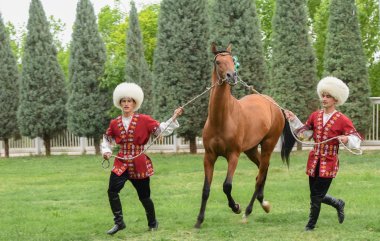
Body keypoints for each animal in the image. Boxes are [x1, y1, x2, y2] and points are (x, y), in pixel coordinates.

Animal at [194, 42, 296, 229]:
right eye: (218, 61)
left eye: (232, 60)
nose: (232, 76)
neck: (222, 118)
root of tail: (274, 105)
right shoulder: (209, 156)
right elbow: (206, 189)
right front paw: (199, 220)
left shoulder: (233, 155)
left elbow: (227, 185)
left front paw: (236, 207)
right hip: (251, 150)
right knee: (262, 171)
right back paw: (263, 202)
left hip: (268, 144)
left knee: (261, 174)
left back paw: (249, 210)